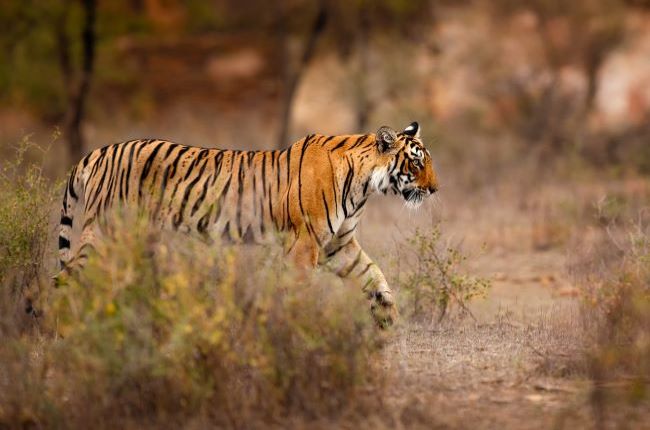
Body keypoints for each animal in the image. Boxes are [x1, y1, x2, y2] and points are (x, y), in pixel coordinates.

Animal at [58, 121, 438, 326]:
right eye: (417, 163)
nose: (435, 189)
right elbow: (299, 292)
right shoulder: (305, 245)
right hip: (104, 235)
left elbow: (375, 277)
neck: (365, 187)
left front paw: (387, 319)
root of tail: (98, 152)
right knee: (64, 280)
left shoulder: (338, 246)